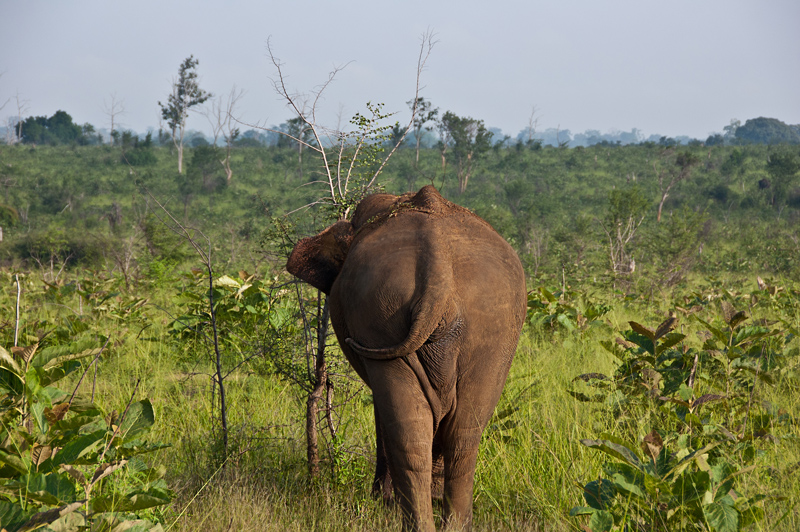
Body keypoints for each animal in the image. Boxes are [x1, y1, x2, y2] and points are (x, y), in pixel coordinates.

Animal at [286, 185, 524, 528]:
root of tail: (439, 274)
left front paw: (382, 501)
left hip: (387, 314)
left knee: (413, 430)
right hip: (488, 329)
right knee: (463, 435)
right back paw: (449, 522)